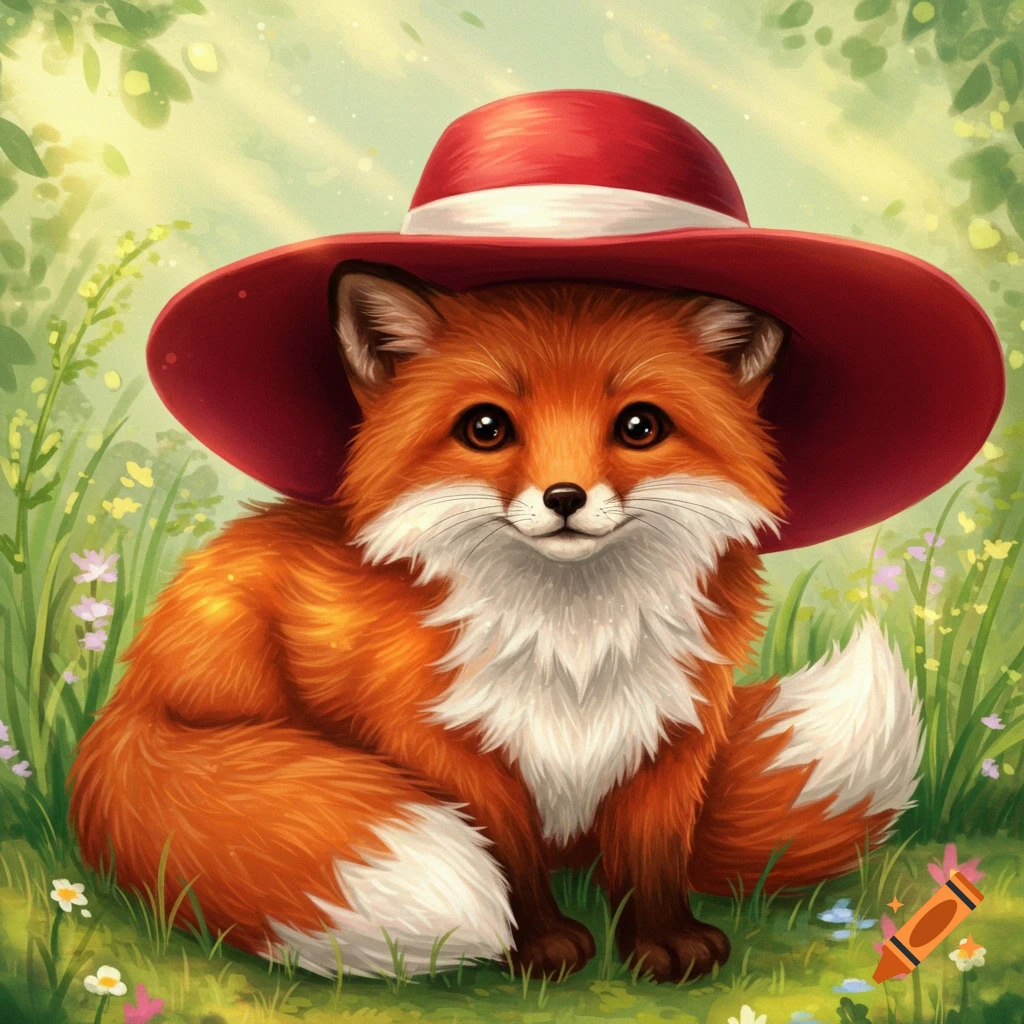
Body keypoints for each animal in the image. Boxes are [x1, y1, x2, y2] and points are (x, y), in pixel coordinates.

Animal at [70, 262, 923, 984]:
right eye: (485, 427)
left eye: (640, 426)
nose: (564, 497)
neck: (574, 647)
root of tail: (126, 707)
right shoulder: (442, 743)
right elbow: (508, 852)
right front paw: (537, 945)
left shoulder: (672, 734)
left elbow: (651, 857)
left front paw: (663, 942)